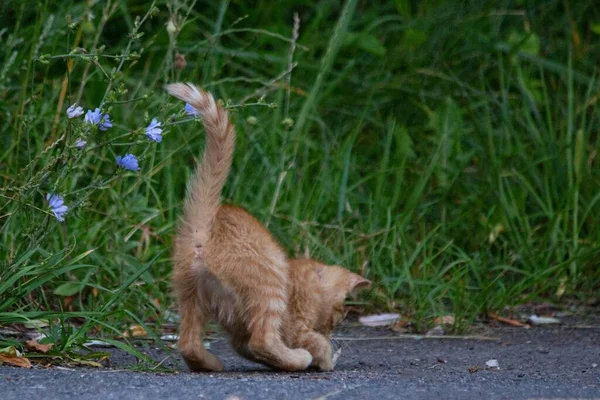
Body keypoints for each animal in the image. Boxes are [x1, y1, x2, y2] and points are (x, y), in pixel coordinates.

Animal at [166, 82, 368, 372]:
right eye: (339, 314)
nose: (333, 328)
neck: (301, 275)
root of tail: (204, 230)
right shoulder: (295, 322)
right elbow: (313, 342)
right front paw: (326, 358)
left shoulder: (239, 332)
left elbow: (246, 347)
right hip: (268, 284)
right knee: (263, 340)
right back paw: (298, 360)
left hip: (190, 295)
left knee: (188, 343)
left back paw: (210, 364)